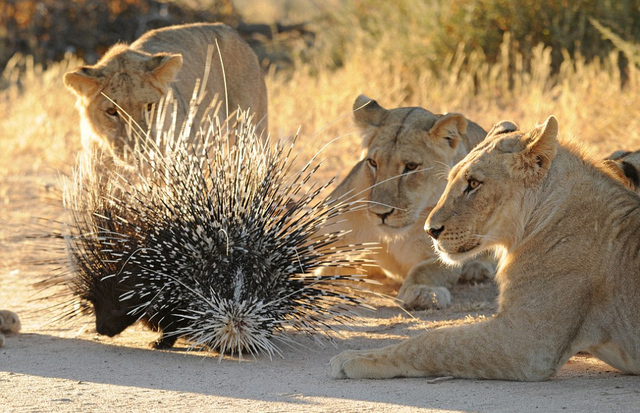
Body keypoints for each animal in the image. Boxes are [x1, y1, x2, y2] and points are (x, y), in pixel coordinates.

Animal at [324, 95, 496, 308]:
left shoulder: (443, 249)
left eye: (411, 166)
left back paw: (478, 269)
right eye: (373, 163)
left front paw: (423, 293)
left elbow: (426, 270)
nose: (380, 214)